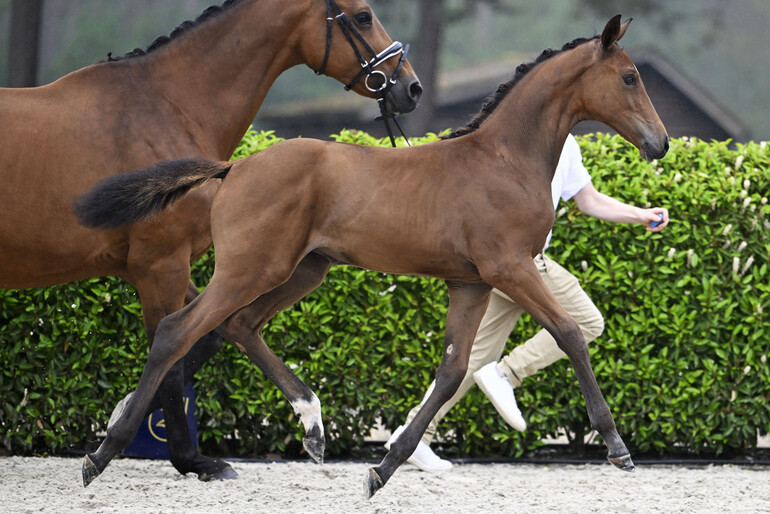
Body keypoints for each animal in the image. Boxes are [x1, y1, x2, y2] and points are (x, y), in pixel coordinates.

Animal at [0, 0, 420, 483]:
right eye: (364, 15)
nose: (411, 87)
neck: (167, 108)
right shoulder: (160, 264)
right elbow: (172, 346)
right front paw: (187, 456)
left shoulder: (173, 266)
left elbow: (214, 335)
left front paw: (125, 412)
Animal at [74, 15, 668, 496]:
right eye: (629, 77)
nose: (660, 143)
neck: (503, 159)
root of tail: (234, 167)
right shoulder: (510, 266)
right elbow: (570, 333)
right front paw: (617, 447)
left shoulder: (472, 282)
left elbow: (453, 370)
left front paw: (383, 468)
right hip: (251, 268)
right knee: (179, 329)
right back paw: (102, 454)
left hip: (303, 270)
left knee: (240, 325)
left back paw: (313, 426)